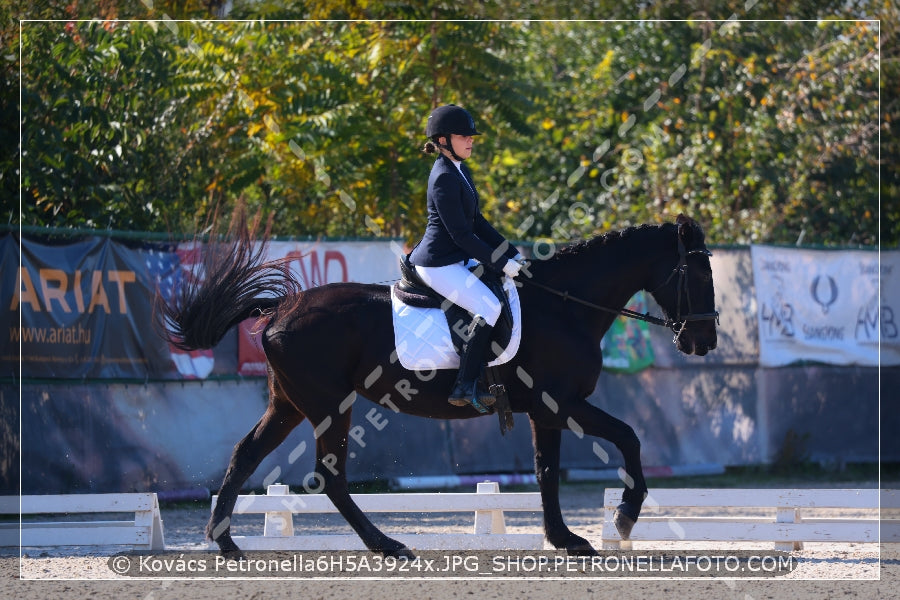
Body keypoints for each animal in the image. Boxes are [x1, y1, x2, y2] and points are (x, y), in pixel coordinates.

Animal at [160, 211, 716, 556]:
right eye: (697, 273)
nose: (703, 341)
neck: (564, 308)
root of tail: (280, 308)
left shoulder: (547, 411)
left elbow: (546, 471)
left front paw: (564, 539)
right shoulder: (560, 402)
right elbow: (628, 437)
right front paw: (621, 518)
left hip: (289, 404)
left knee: (246, 455)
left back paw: (225, 542)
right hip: (328, 405)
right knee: (329, 477)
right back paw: (387, 545)